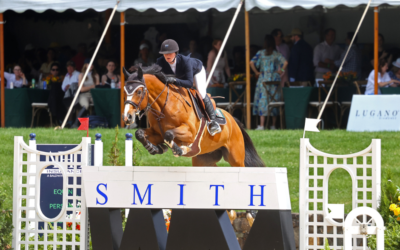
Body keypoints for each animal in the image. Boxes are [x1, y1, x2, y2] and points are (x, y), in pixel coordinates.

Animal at [123, 64, 264, 167]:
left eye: (139, 91)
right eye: (124, 91)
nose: (127, 117)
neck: (163, 108)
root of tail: (233, 121)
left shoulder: (189, 133)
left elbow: (169, 134)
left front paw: (179, 150)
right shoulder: (157, 133)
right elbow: (140, 133)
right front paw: (154, 148)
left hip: (236, 158)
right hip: (204, 160)